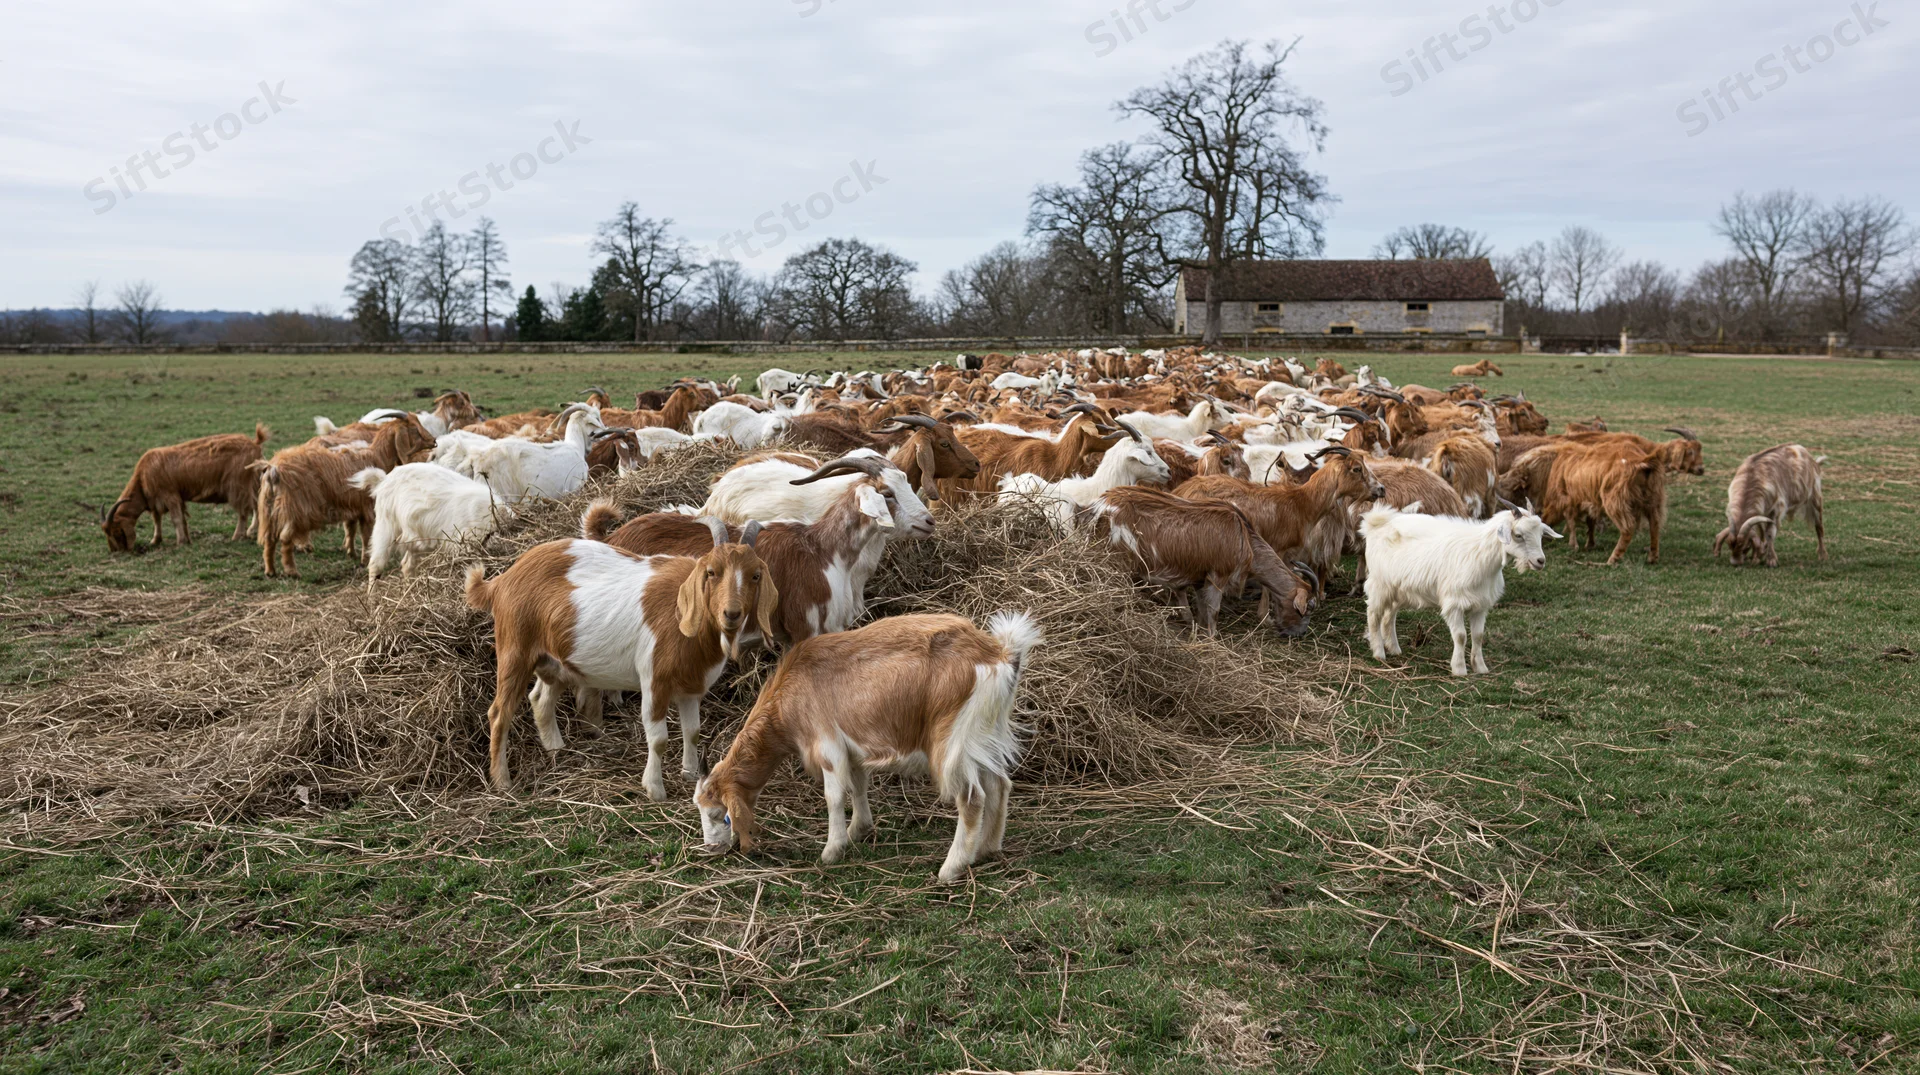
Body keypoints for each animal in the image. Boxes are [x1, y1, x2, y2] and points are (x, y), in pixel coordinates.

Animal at [103, 424, 269, 552]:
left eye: (116, 531)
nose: (116, 551)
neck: (142, 477)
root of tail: (255, 443)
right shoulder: (163, 500)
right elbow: (163, 519)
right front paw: (159, 540)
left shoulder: (170, 496)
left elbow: (176, 519)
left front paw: (181, 542)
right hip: (254, 484)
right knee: (257, 505)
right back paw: (254, 532)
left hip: (238, 487)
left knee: (243, 511)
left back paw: (238, 536)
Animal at [464, 518, 775, 796]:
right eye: (711, 572)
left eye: (755, 575)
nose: (731, 613)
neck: (681, 615)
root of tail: (502, 581)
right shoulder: (655, 682)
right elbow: (659, 739)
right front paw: (655, 789)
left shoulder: (691, 687)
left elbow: (693, 731)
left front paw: (690, 774)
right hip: (514, 649)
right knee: (499, 712)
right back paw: (502, 781)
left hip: (553, 660)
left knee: (540, 698)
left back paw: (556, 748)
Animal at [693, 610, 1041, 883]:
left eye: (719, 815)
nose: (711, 848)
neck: (788, 694)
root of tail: (999, 653)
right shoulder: (853, 750)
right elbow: (858, 785)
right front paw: (858, 831)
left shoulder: (828, 747)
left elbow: (834, 797)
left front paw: (832, 850)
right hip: (984, 734)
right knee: (999, 784)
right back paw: (986, 850)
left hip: (953, 743)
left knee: (972, 798)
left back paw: (951, 868)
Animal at [1093, 487, 1312, 637]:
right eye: (1306, 608)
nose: (1298, 634)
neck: (1245, 538)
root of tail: (1101, 506)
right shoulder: (1219, 574)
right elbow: (1213, 610)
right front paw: (1213, 640)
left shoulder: (1200, 577)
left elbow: (1201, 609)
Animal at [1361, 503, 1558, 675]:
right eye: (1518, 535)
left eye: (1541, 533)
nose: (1540, 561)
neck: (1480, 555)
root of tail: (1376, 523)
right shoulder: (1454, 604)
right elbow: (1461, 636)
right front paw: (1459, 669)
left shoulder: (1480, 605)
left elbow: (1478, 635)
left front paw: (1480, 667)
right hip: (1379, 583)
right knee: (1373, 614)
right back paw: (1379, 652)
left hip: (1398, 589)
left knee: (1389, 615)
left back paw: (1394, 648)